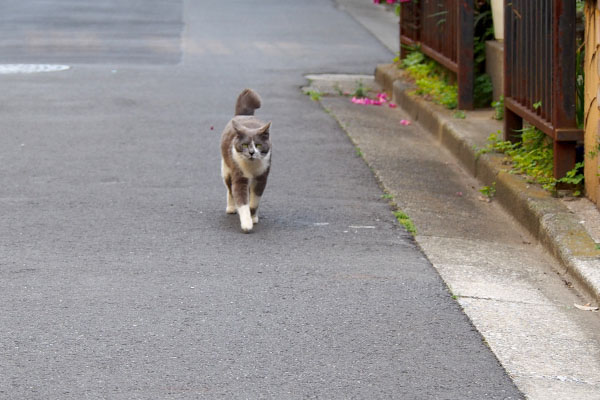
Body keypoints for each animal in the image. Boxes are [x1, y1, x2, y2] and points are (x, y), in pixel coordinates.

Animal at [220, 87, 272, 231]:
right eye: (244, 145)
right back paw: (231, 208)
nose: (251, 152)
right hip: (227, 169)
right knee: (230, 189)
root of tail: (243, 115)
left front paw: (253, 217)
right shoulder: (239, 177)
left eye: (258, 145)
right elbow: (241, 200)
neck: (251, 167)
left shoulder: (261, 178)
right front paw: (247, 223)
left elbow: (254, 202)